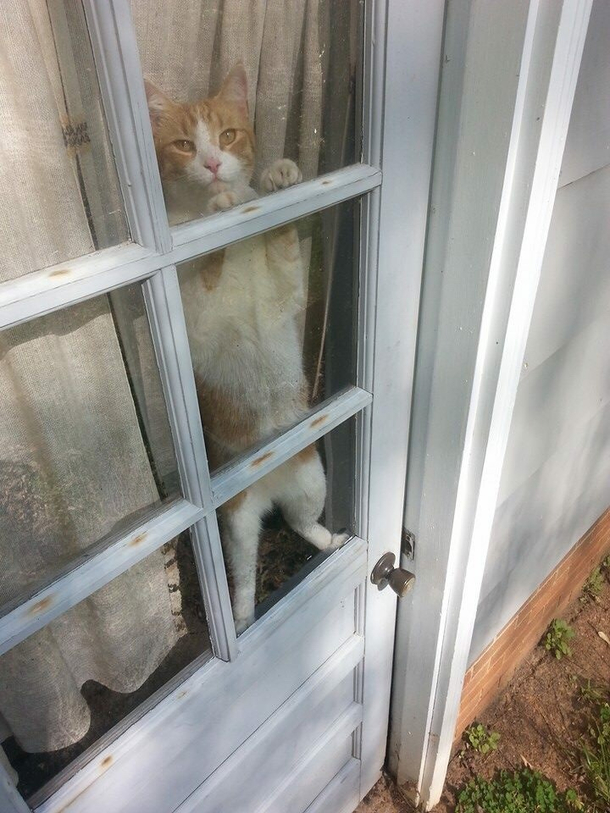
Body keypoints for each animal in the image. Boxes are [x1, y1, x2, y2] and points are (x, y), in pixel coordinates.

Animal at [147, 66, 344, 632]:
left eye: (228, 134)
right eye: (185, 145)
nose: (213, 164)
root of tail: (270, 481)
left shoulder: (287, 295)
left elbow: (283, 246)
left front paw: (279, 180)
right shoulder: (194, 322)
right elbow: (205, 265)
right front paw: (218, 210)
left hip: (311, 479)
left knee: (301, 524)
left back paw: (329, 538)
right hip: (234, 525)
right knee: (243, 574)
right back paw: (240, 615)